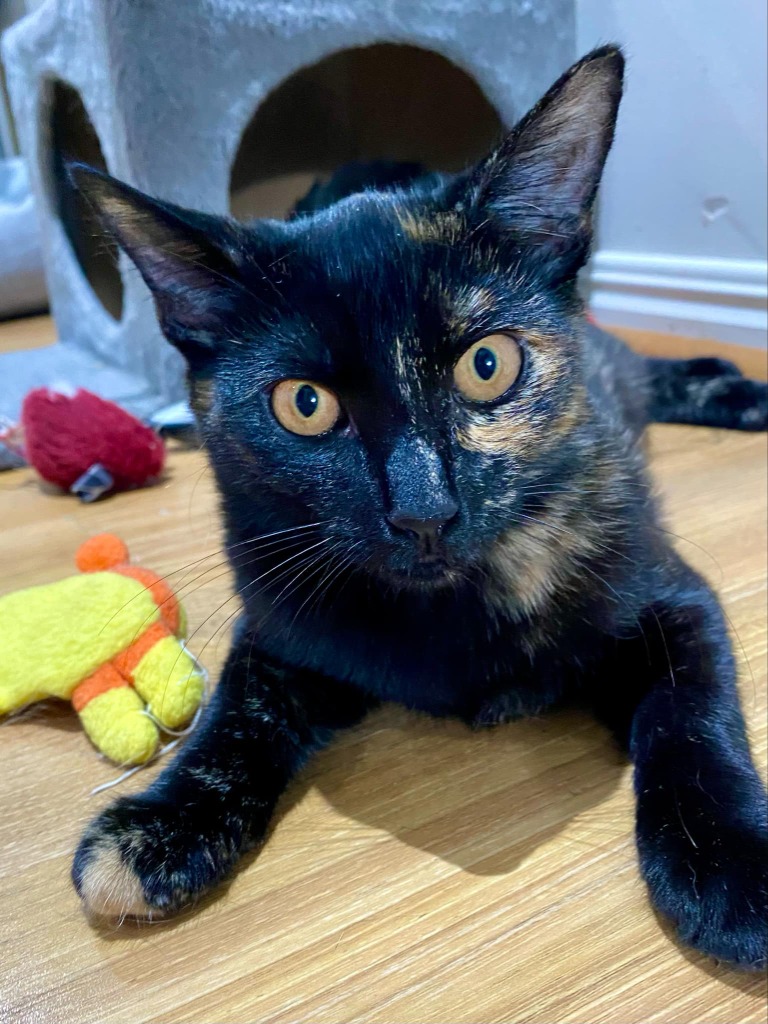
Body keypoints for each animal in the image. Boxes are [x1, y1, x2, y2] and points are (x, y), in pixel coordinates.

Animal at [69, 46, 767, 969]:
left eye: (487, 365)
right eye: (304, 404)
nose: (423, 509)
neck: (452, 613)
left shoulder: (674, 595)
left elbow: (693, 716)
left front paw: (732, 860)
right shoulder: (281, 616)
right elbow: (239, 709)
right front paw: (158, 824)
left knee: (654, 367)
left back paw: (738, 388)